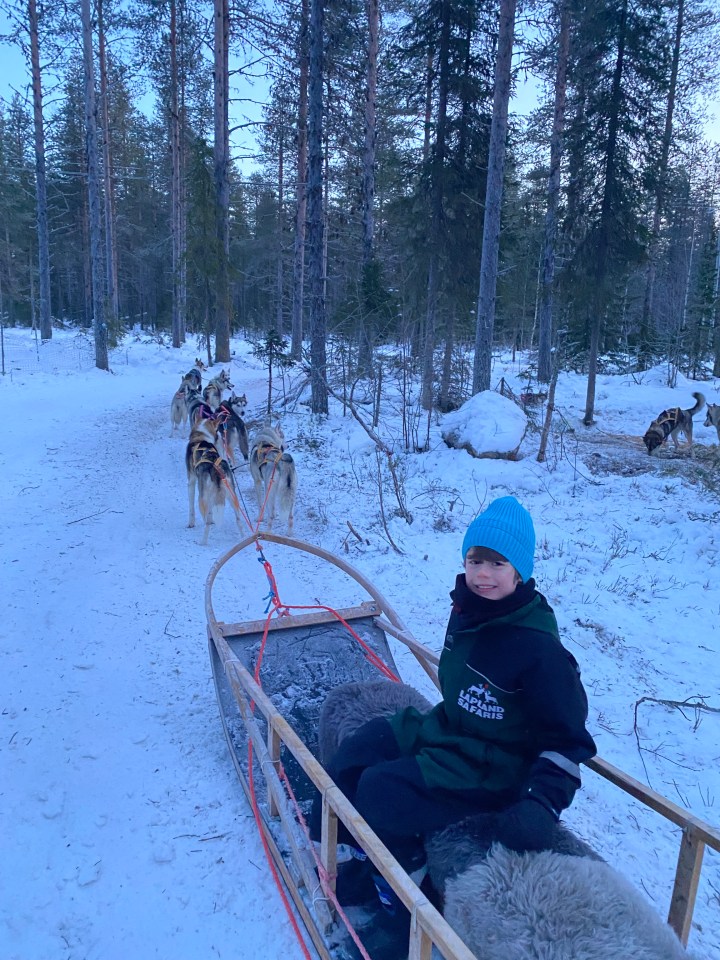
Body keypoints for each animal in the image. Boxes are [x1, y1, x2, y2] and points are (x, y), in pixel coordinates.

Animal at [184, 416, 243, 544]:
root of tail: (216, 468)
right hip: (233, 497)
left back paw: (203, 542)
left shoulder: (191, 481)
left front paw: (191, 523)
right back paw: (244, 538)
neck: (201, 437)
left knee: (206, 521)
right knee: (238, 520)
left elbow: (191, 507)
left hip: (202, 498)